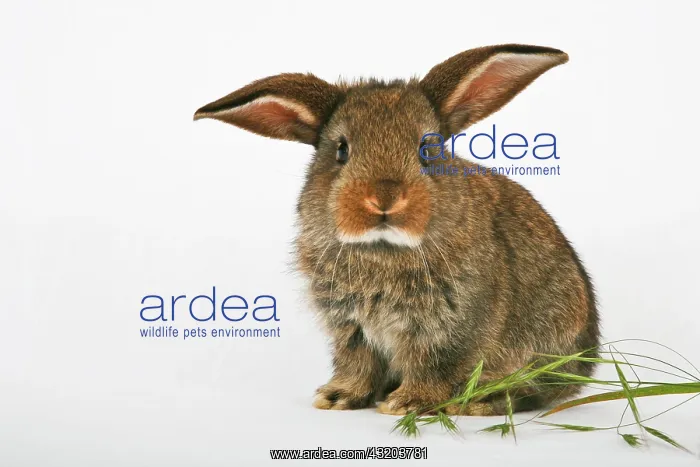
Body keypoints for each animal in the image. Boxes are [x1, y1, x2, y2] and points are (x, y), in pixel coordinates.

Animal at [194, 44, 600, 416]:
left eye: (426, 149)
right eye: (341, 150)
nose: (385, 198)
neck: (383, 248)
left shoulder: (448, 328)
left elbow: (433, 366)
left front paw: (407, 404)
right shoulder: (352, 329)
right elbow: (358, 365)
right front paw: (338, 397)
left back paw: (483, 401)